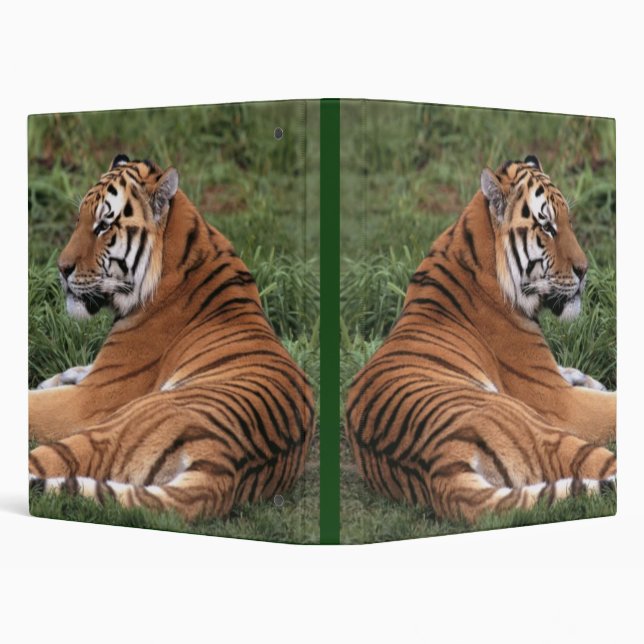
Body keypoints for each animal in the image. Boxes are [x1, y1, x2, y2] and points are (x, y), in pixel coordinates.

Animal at [29, 155, 314, 521]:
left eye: (104, 226)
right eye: (79, 219)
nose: (61, 269)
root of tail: (224, 468)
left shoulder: (91, 400)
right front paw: (57, 377)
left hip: (114, 426)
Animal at [346, 156, 616, 524]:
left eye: (568, 221)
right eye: (547, 227)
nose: (585, 270)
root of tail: (439, 468)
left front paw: (590, 379)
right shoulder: (559, 401)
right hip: (539, 428)